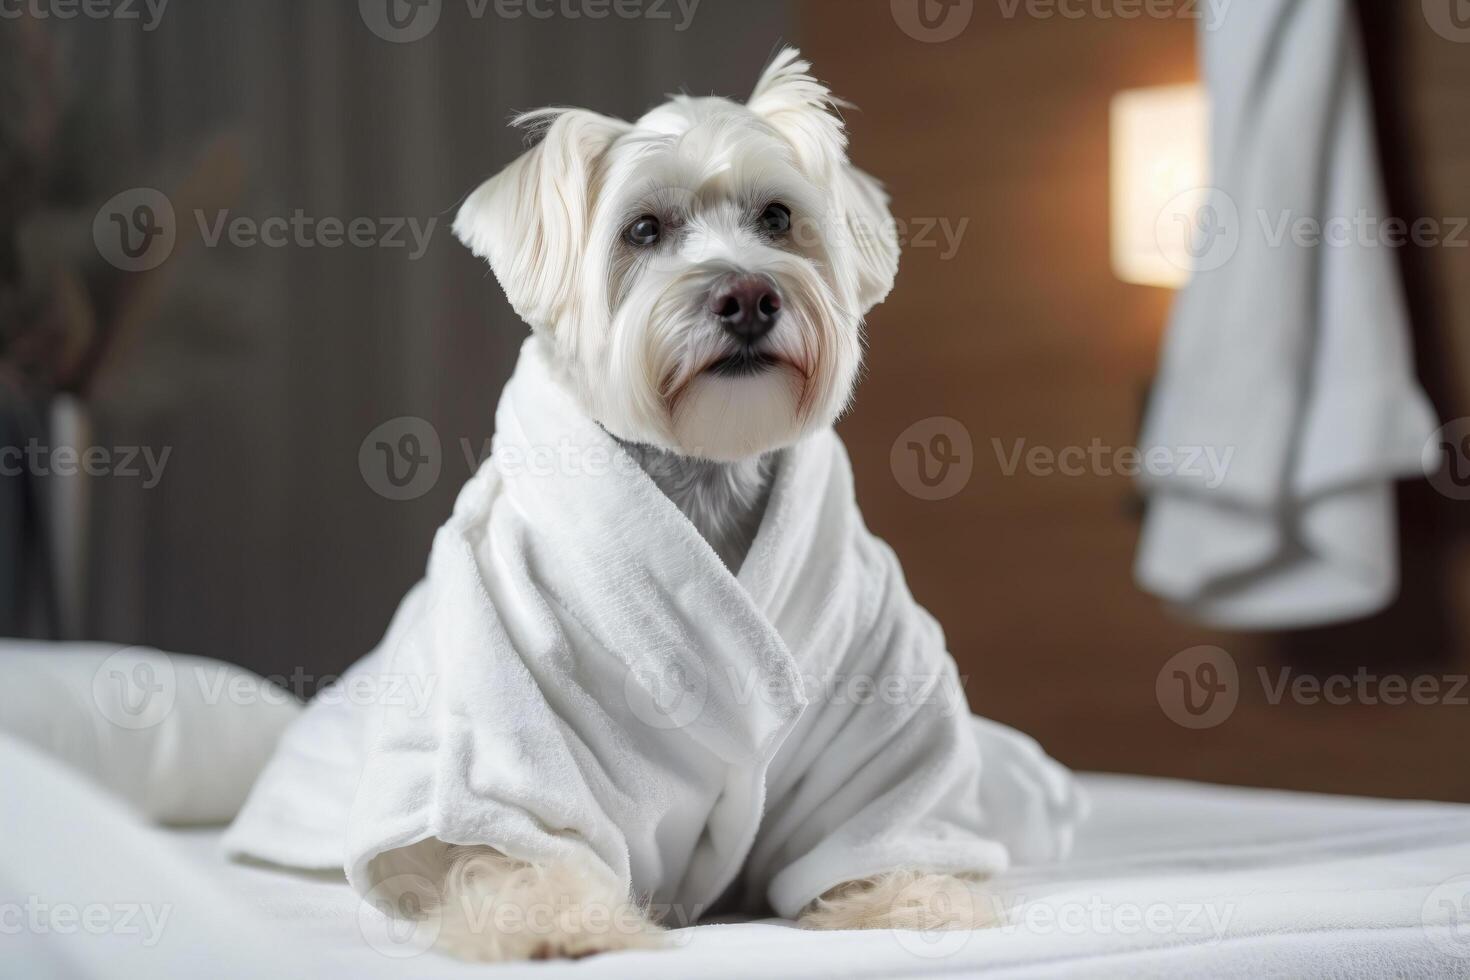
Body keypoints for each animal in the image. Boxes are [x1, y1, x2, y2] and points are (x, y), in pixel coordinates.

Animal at [429, 49, 999, 963]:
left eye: (777, 218)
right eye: (643, 231)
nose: (749, 297)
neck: (703, 481)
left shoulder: (876, 700)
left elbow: (881, 817)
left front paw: (907, 895)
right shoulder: (514, 704)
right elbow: (517, 835)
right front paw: (548, 915)